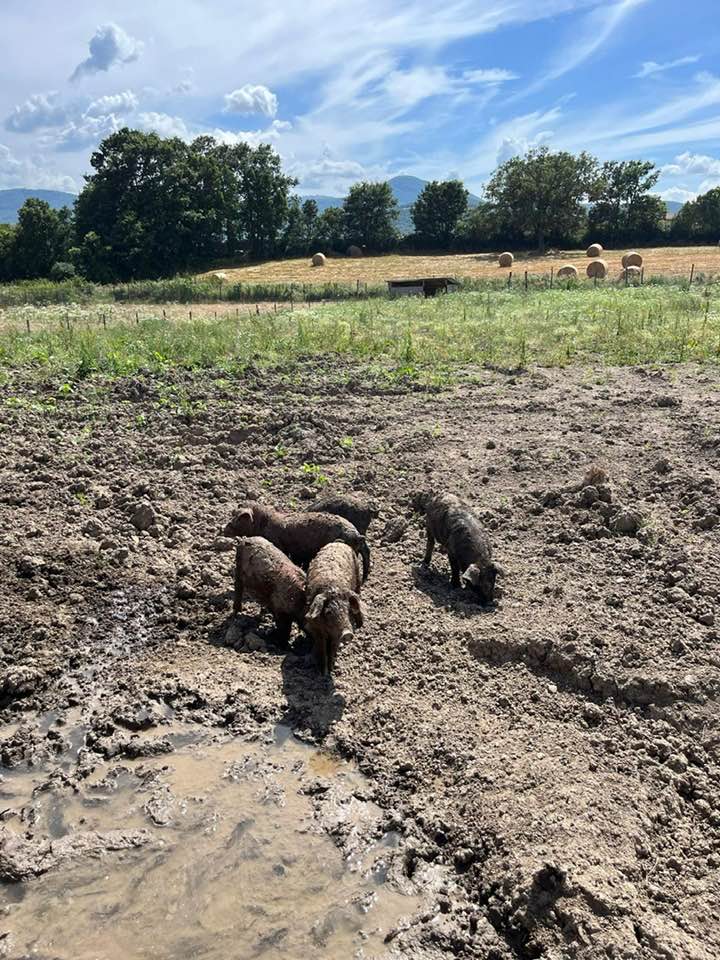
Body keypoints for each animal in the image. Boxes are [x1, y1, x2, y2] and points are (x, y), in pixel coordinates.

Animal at [306, 540, 366, 676]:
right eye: (328, 612)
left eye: (347, 611)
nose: (347, 633)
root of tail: (338, 542)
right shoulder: (316, 629)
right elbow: (322, 649)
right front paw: (324, 673)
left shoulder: (336, 634)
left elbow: (333, 648)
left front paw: (332, 670)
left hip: (357, 576)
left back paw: (361, 625)